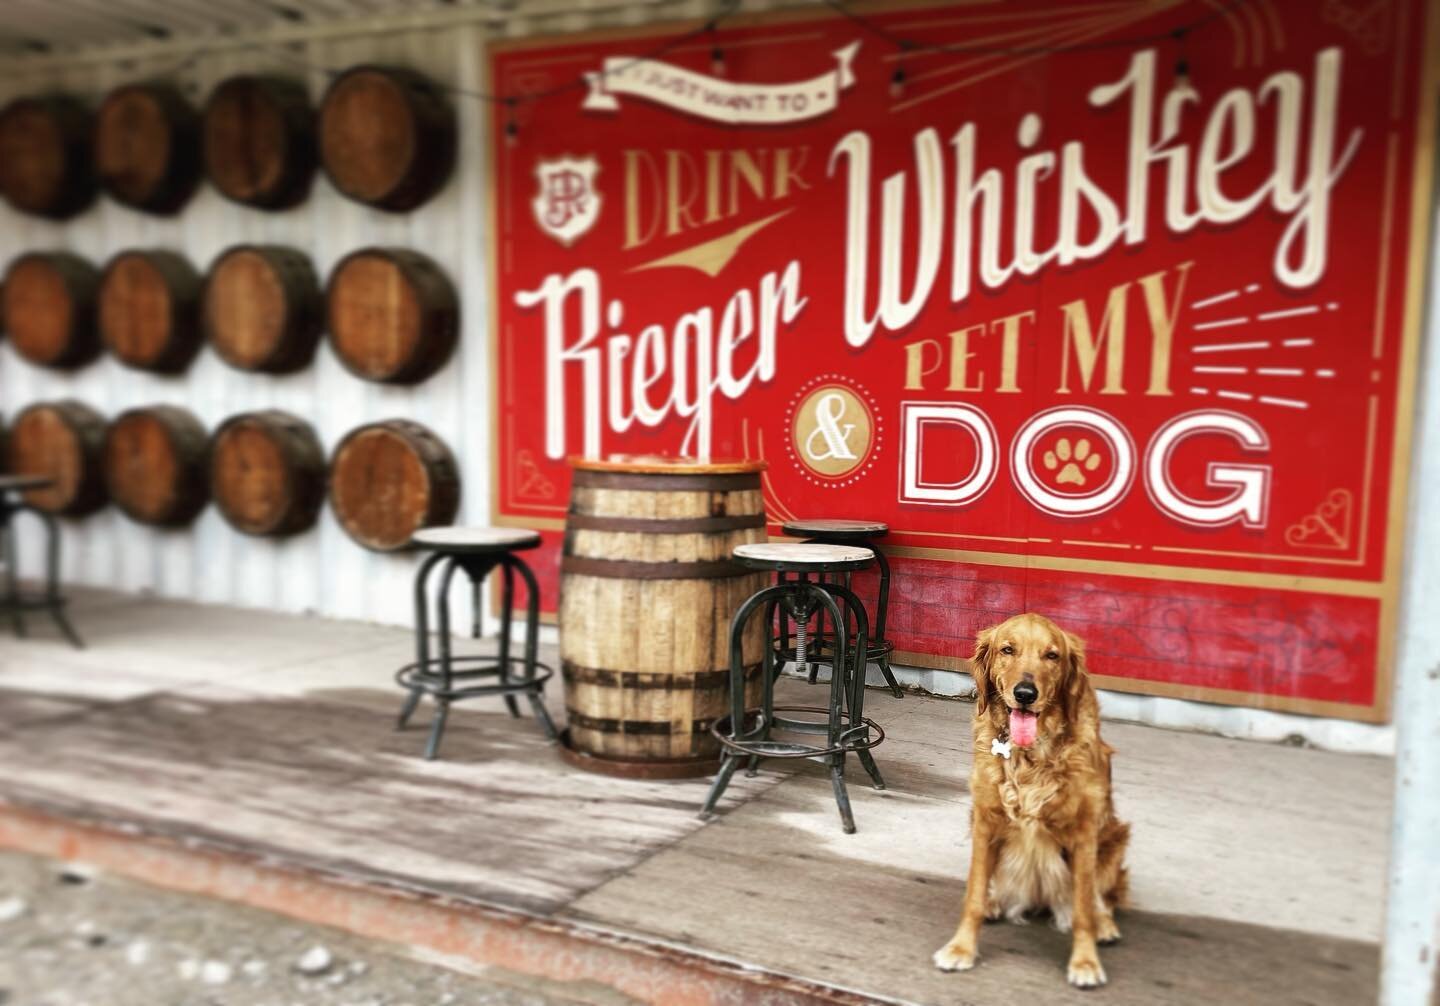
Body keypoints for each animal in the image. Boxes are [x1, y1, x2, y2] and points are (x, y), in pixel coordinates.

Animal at [927, 613, 1128, 990]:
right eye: (1008, 650)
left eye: (1052, 656)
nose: (1024, 693)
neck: (1030, 753)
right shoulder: (985, 820)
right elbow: (973, 895)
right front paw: (961, 949)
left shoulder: (1084, 831)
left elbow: (1083, 908)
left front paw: (1085, 962)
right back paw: (994, 902)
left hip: (1115, 836)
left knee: (1102, 897)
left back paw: (1105, 924)